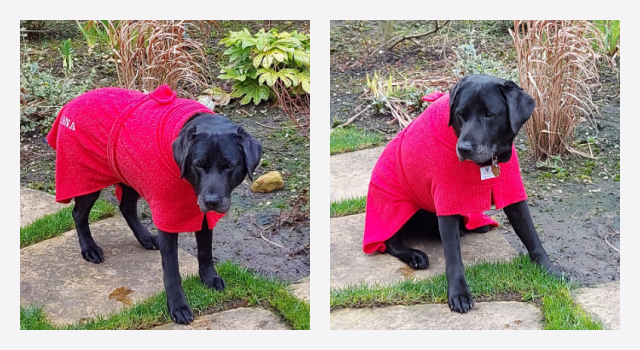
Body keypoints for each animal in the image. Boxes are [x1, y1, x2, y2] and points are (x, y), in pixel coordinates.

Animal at [46, 83, 262, 324]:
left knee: (126, 207)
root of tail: (71, 102)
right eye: (199, 164)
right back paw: (90, 249)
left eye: (229, 165)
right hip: (87, 178)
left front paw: (209, 278)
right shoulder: (166, 217)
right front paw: (178, 306)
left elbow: (205, 250)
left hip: (129, 173)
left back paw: (146, 238)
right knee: (79, 214)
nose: (212, 201)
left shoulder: (203, 215)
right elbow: (172, 270)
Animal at [362, 74, 564, 314]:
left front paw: (550, 271)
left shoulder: (512, 190)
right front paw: (458, 294)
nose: (464, 148)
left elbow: (532, 237)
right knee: (391, 243)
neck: (486, 164)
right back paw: (415, 255)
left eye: (489, 114)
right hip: (400, 205)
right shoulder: (446, 201)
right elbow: (453, 257)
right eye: (460, 114)